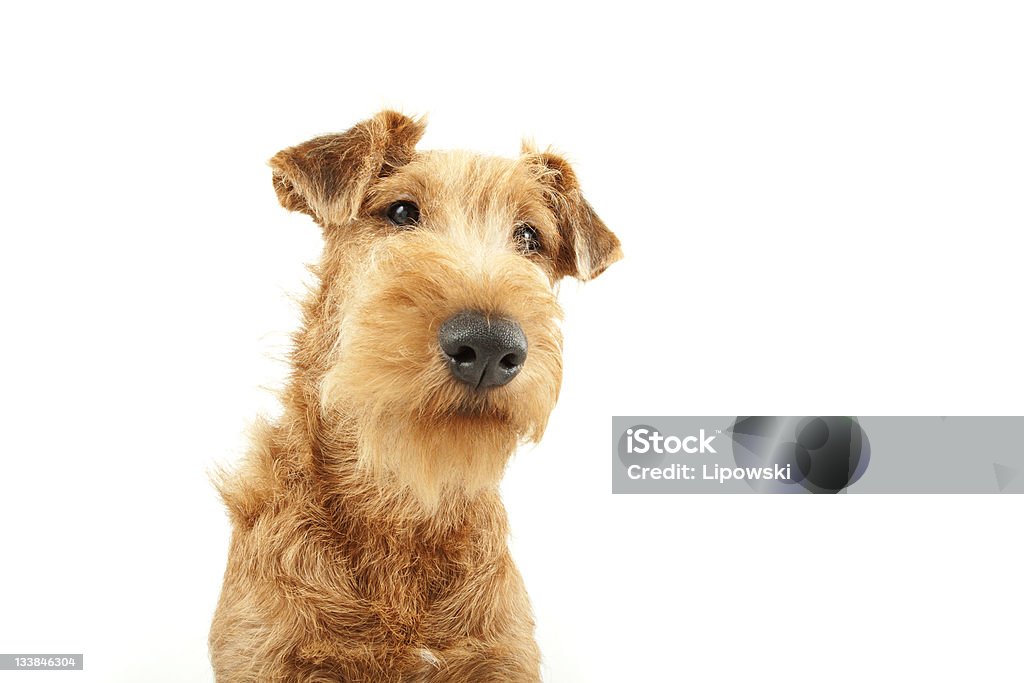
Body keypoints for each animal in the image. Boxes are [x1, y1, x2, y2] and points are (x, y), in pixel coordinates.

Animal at [209, 109, 614, 679]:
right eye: (401, 211)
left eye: (529, 236)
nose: (489, 345)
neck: (399, 516)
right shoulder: (263, 655)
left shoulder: (500, 658)